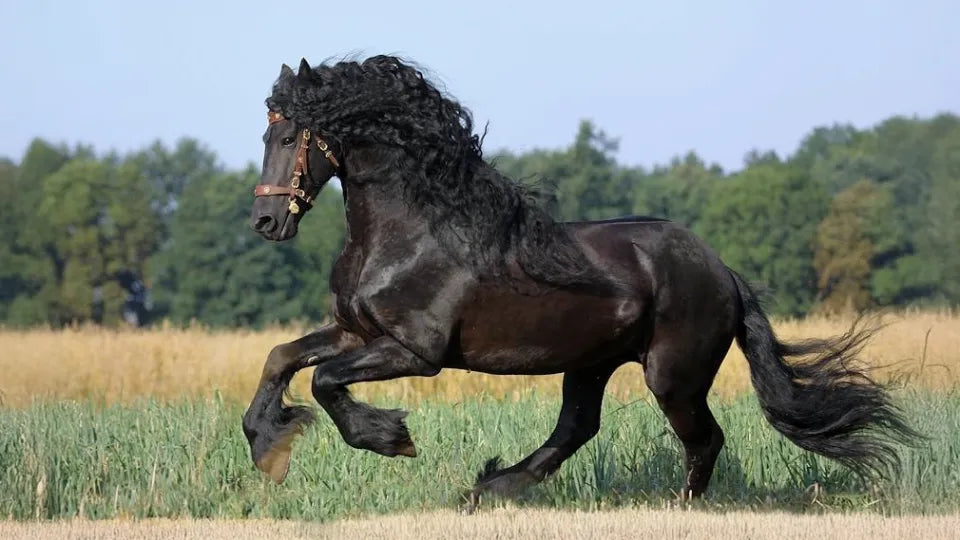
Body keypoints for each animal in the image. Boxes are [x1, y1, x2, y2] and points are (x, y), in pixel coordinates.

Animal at [241, 56, 919, 511]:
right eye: (266, 131)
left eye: (287, 135)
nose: (267, 221)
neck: (409, 234)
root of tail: (722, 271)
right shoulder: (357, 332)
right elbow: (283, 357)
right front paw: (268, 450)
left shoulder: (415, 351)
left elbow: (325, 381)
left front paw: (390, 439)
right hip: (591, 363)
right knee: (577, 429)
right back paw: (489, 487)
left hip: (671, 373)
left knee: (703, 438)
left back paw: (676, 508)